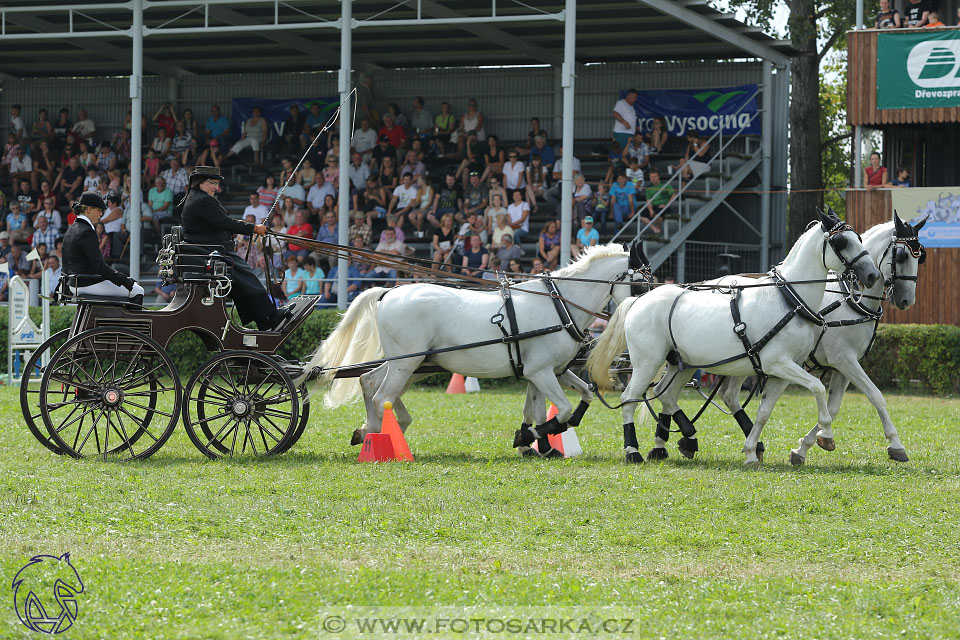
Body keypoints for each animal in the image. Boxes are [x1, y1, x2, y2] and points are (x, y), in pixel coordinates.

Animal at [312, 241, 648, 456]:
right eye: (641, 284)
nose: (645, 312)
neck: (559, 305)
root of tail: (388, 293)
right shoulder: (541, 372)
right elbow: (561, 409)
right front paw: (530, 438)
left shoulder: (545, 371)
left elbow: (555, 404)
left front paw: (538, 443)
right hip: (406, 363)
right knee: (383, 395)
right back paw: (382, 440)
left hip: (410, 363)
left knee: (370, 383)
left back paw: (369, 431)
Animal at [580, 210, 880, 464]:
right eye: (841, 242)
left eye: (859, 237)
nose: (872, 275)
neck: (789, 299)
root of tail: (638, 300)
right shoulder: (778, 363)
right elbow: (817, 387)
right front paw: (825, 436)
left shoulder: (784, 370)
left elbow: (764, 412)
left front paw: (751, 451)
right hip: (647, 362)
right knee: (630, 398)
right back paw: (633, 451)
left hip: (681, 364)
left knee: (665, 394)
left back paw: (686, 438)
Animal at [640, 215, 928, 464]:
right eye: (902, 255)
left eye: (920, 257)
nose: (906, 300)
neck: (848, 299)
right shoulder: (843, 360)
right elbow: (875, 396)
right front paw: (895, 444)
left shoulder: (842, 366)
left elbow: (834, 407)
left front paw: (804, 447)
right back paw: (666, 444)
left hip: (730, 362)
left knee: (719, 394)